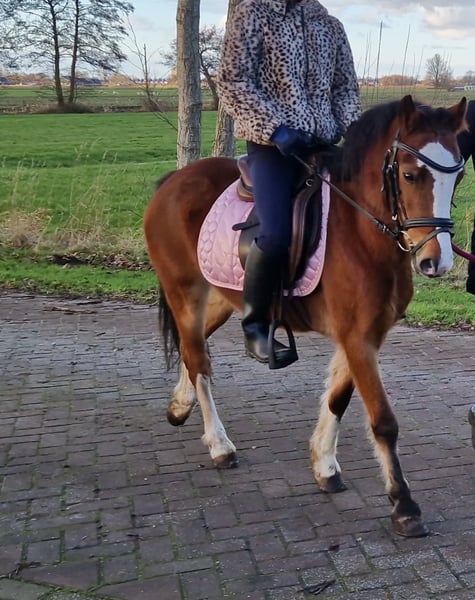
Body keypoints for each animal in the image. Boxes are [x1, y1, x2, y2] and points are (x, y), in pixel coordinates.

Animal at [144, 95, 467, 538]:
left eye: (460, 176)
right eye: (409, 174)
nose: (437, 261)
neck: (360, 232)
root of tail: (174, 181)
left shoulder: (365, 334)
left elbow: (337, 397)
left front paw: (325, 466)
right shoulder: (357, 337)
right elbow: (383, 420)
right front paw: (404, 505)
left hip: (221, 299)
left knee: (194, 352)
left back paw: (180, 405)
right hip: (185, 293)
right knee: (198, 360)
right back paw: (220, 446)